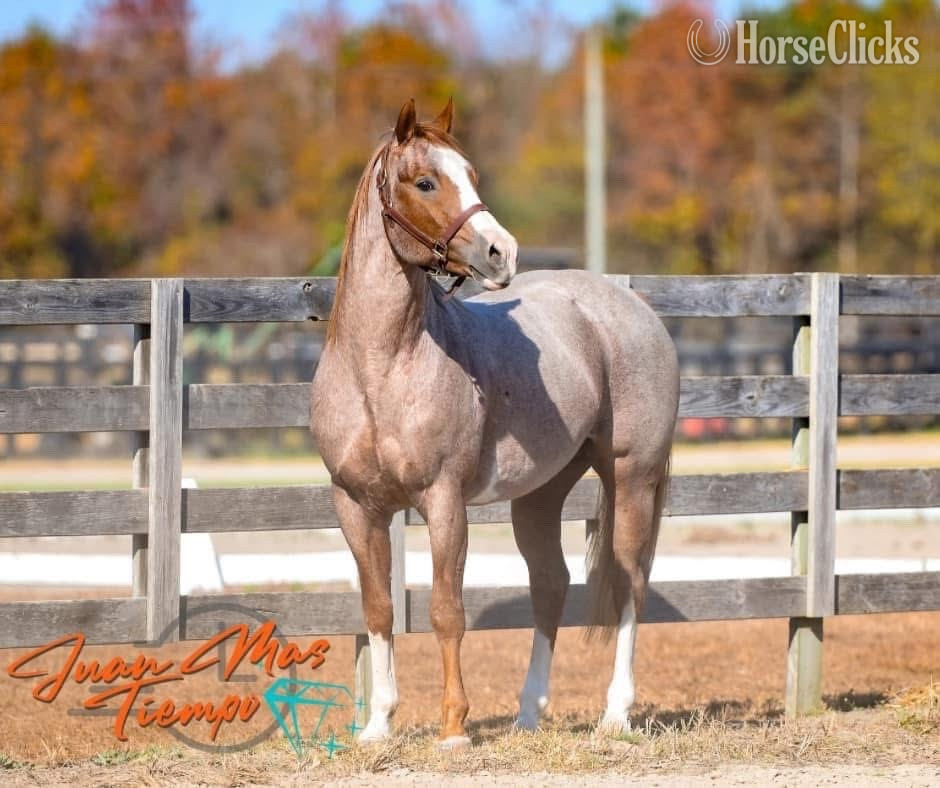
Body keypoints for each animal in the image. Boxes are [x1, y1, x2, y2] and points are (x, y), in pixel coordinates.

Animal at [310, 98, 679, 747]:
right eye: (424, 181)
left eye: (473, 174)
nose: (500, 252)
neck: (381, 367)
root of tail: (630, 308)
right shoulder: (354, 505)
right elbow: (379, 608)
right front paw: (378, 724)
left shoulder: (443, 500)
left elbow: (445, 610)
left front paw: (454, 727)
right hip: (540, 494)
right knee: (550, 585)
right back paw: (528, 713)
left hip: (633, 478)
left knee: (630, 582)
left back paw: (616, 714)